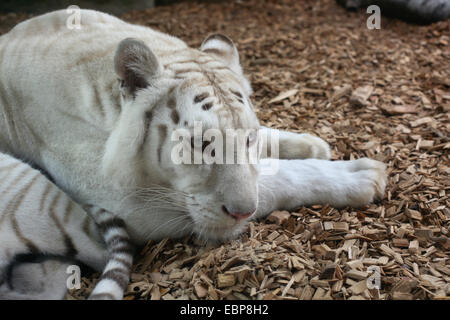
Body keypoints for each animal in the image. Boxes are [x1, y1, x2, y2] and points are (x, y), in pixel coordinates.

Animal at [0, 8, 384, 249]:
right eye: (200, 144)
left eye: (248, 138)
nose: (242, 214)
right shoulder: (128, 202)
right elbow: (275, 179)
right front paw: (362, 175)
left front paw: (312, 143)